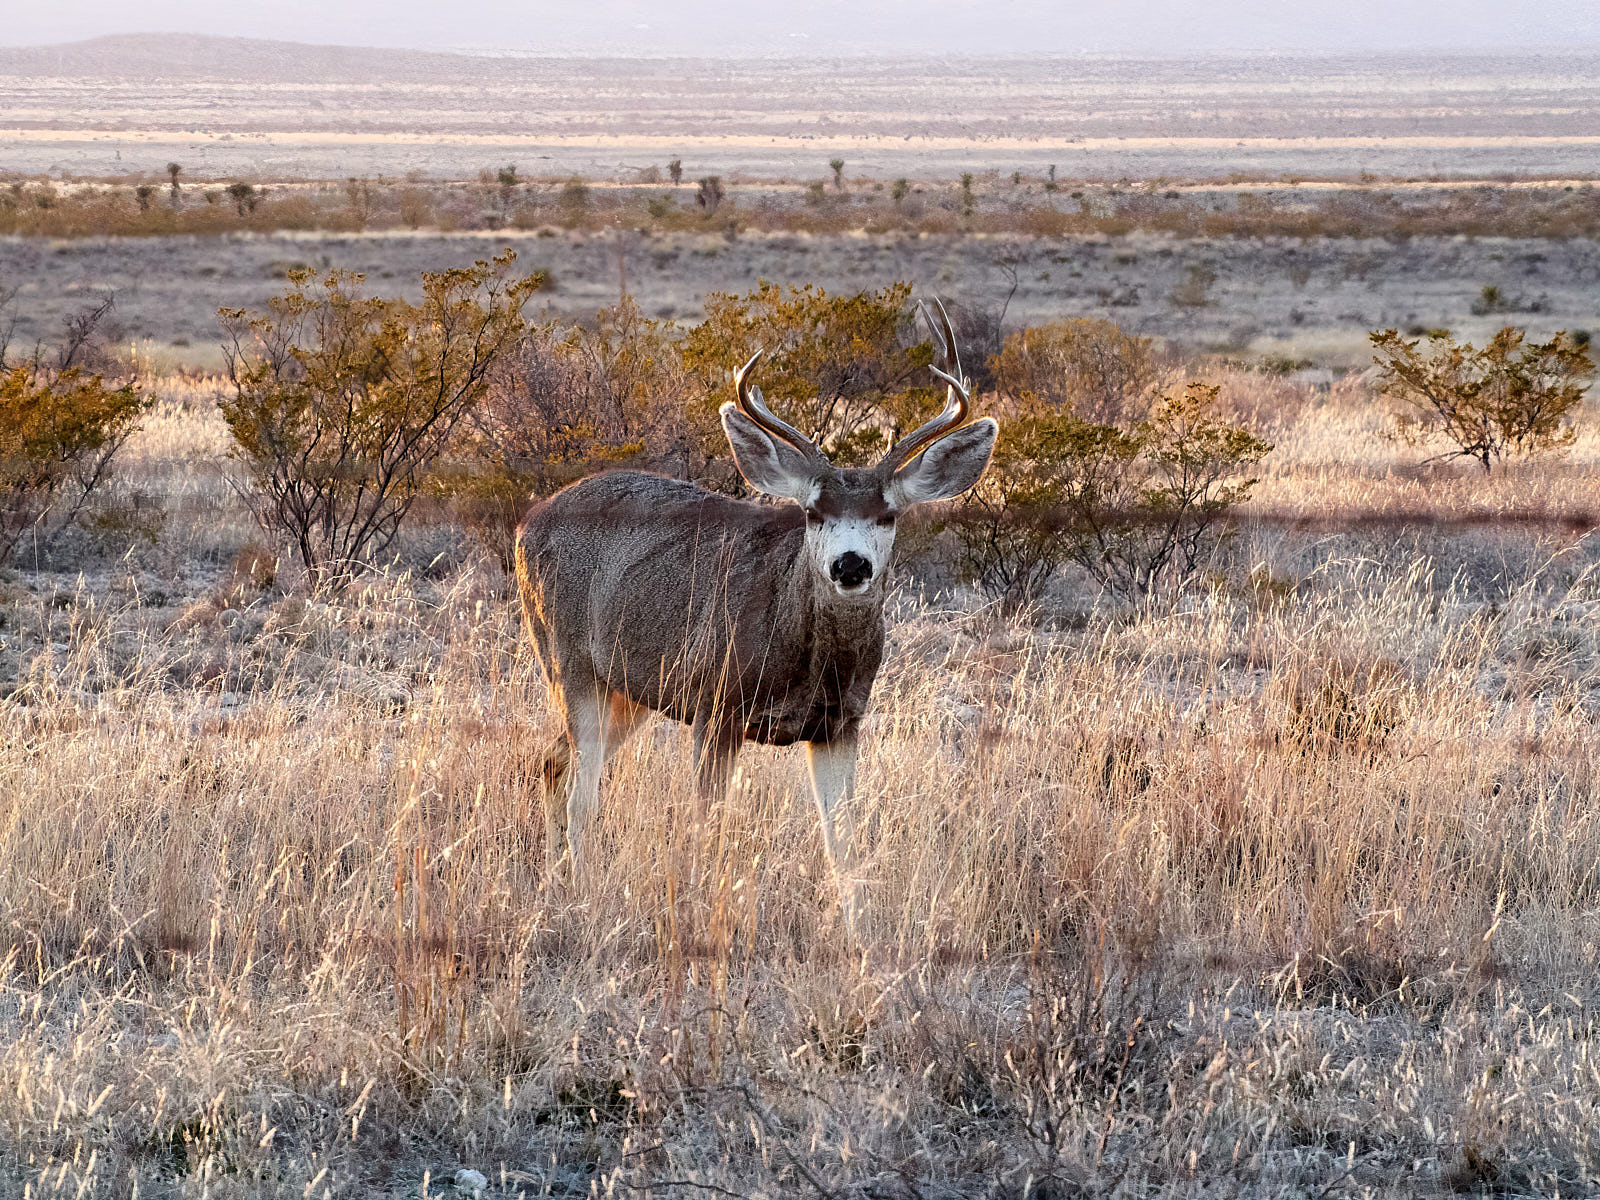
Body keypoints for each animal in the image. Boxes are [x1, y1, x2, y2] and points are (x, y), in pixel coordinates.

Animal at [512, 300, 992, 921]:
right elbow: (706, 825)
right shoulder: (715, 702)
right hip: (567, 660)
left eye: (888, 515)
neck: (804, 658)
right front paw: (699, 911)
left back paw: (554, 881)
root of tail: (526, 523)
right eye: (813, 512)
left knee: (551, 765)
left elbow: (844, 842)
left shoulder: (841, 724)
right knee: (581, 795)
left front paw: (858, 931)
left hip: (628, 689)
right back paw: (584, 894)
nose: (850, 565)